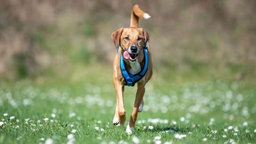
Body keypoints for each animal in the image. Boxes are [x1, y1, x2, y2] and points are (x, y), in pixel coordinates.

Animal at [110, 3, 152, 134]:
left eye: (139, 38)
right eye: (126, 38)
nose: (133, 48)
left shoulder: (141, 85)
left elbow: (134, 111)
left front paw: (130, 128)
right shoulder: (118, 81)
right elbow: (121, 107)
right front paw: (121, 120)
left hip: (147, 79)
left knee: (143, 92)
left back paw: (140, 106)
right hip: (118, 81)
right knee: (118, 100)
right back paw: (116, 118)